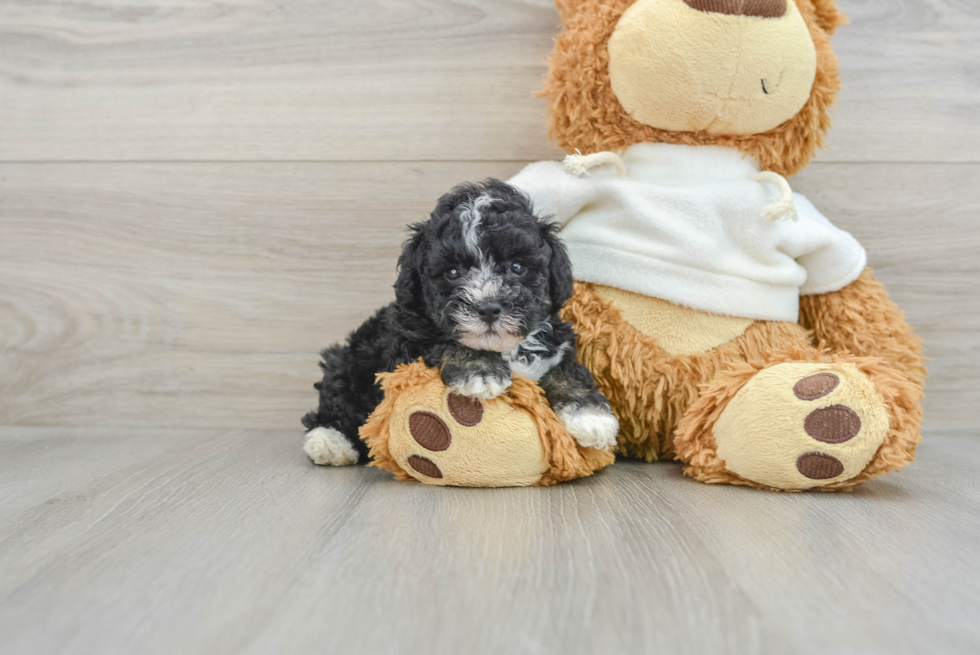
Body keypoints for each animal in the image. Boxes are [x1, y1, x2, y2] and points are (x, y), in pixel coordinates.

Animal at [302, 179, 616, 466]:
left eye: (517, 266)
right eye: (452, 272)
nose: (488, 308)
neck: (503, 349)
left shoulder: (556, 345)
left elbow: (569, 372)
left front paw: (591, 416)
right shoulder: (407, 341)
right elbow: (443, 339)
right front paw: (479, 371)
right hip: (348, 362)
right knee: (338, 398)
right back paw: (329, 442)